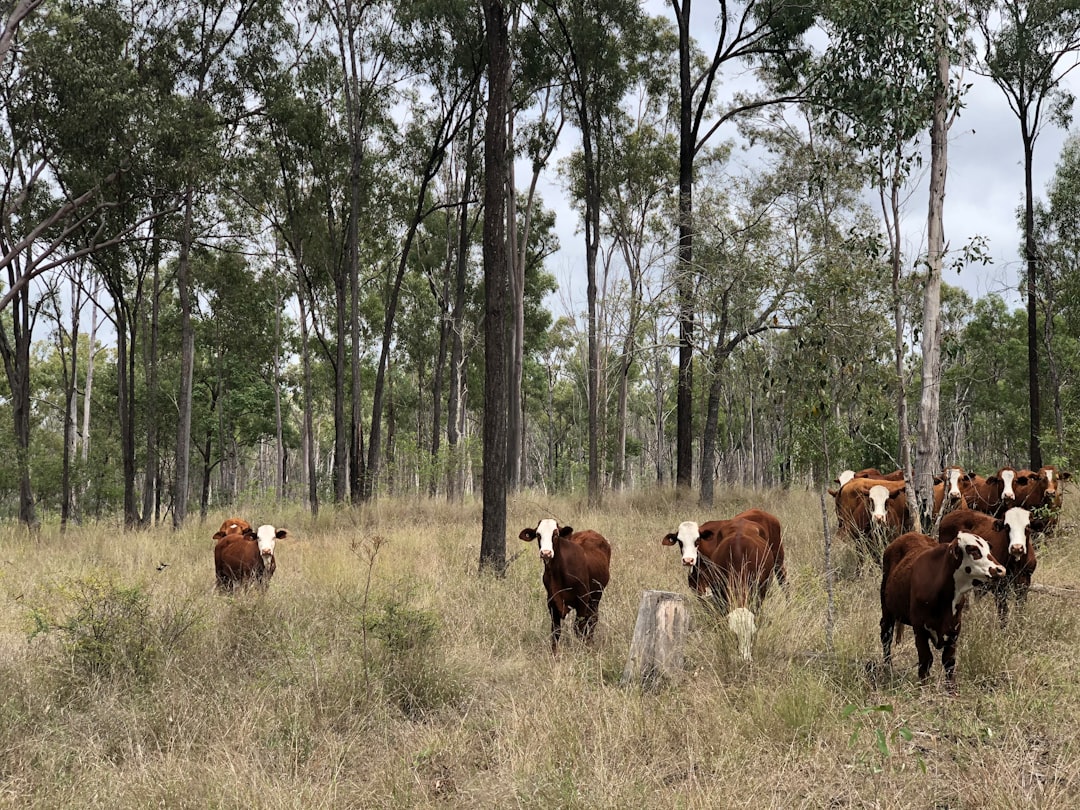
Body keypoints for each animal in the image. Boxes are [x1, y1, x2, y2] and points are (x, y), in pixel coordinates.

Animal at [518, 522, 613, 656]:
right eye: (538, 534)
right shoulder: (551, 601)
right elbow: (555, 631)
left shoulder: (582, 600)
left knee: (593, 618)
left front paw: (581, 651)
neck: (558, 574)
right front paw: (554, 655)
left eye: (555, 534)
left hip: (596, 595)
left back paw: (589, 642)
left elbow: (579, 627)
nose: (546, 553)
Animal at [876, 533, 1002, 691]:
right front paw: (923, 687)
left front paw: (951, 690)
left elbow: (949, 661)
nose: (1000, 569)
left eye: (989, 548)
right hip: (887, 610)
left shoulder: (954, 629)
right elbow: (926, 659)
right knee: (886, 636)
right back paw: (888, 668)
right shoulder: (919, 629)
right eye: (973, 550)